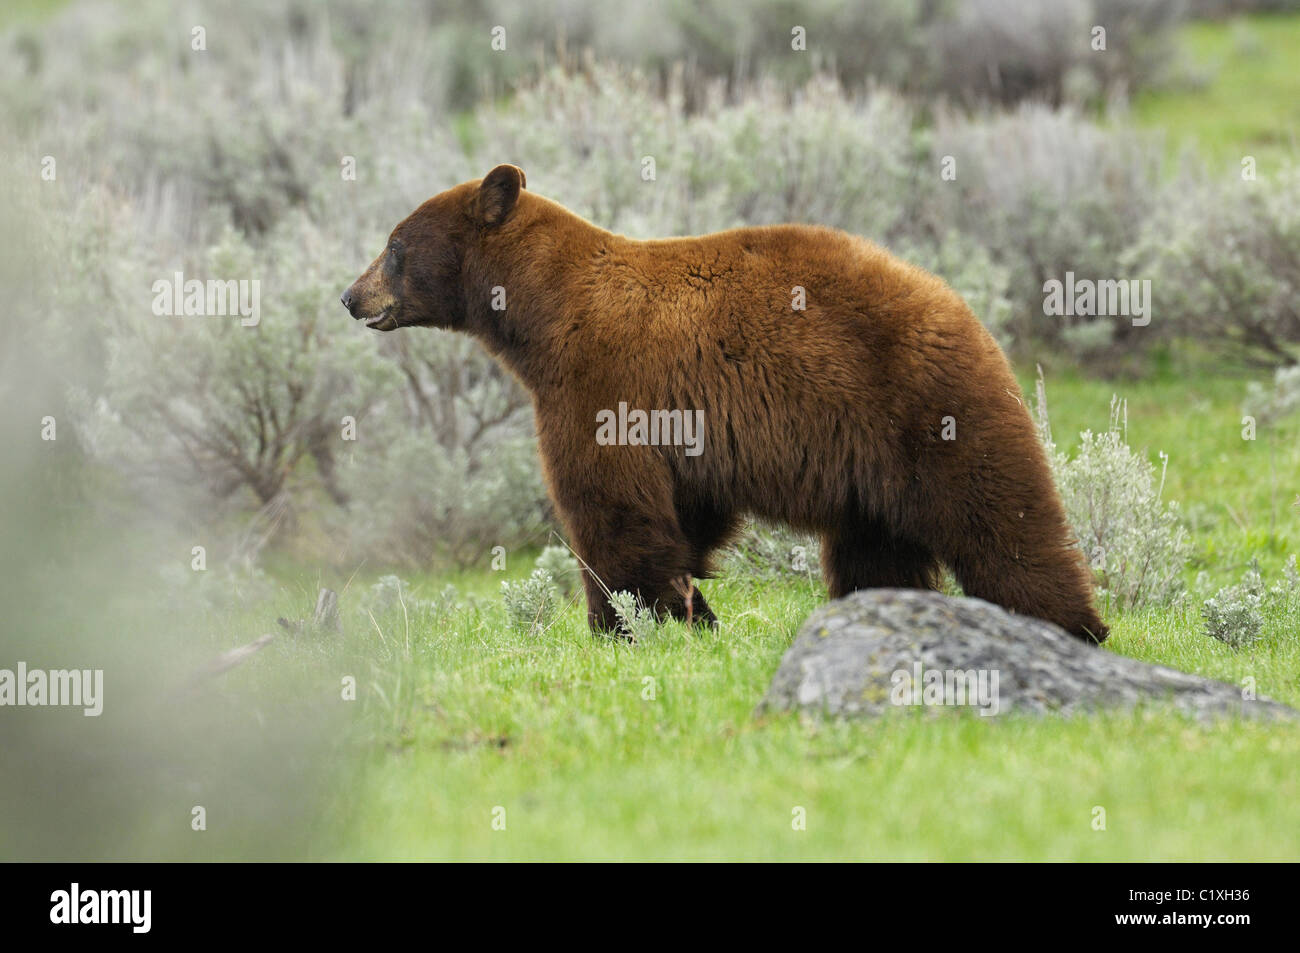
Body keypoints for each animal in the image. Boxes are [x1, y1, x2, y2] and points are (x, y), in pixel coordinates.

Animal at [343, 163, 1107, 642]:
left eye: (394, 246)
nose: (351, 296)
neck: (545, 313)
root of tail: (963, 309)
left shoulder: (599, 382)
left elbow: (612, 508)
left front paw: (625, 624)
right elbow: (685, 517)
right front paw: (692, 612)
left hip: (922, 405)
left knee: (998, 516)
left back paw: (1073, 624)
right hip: (871, 458)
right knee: (875, 544)